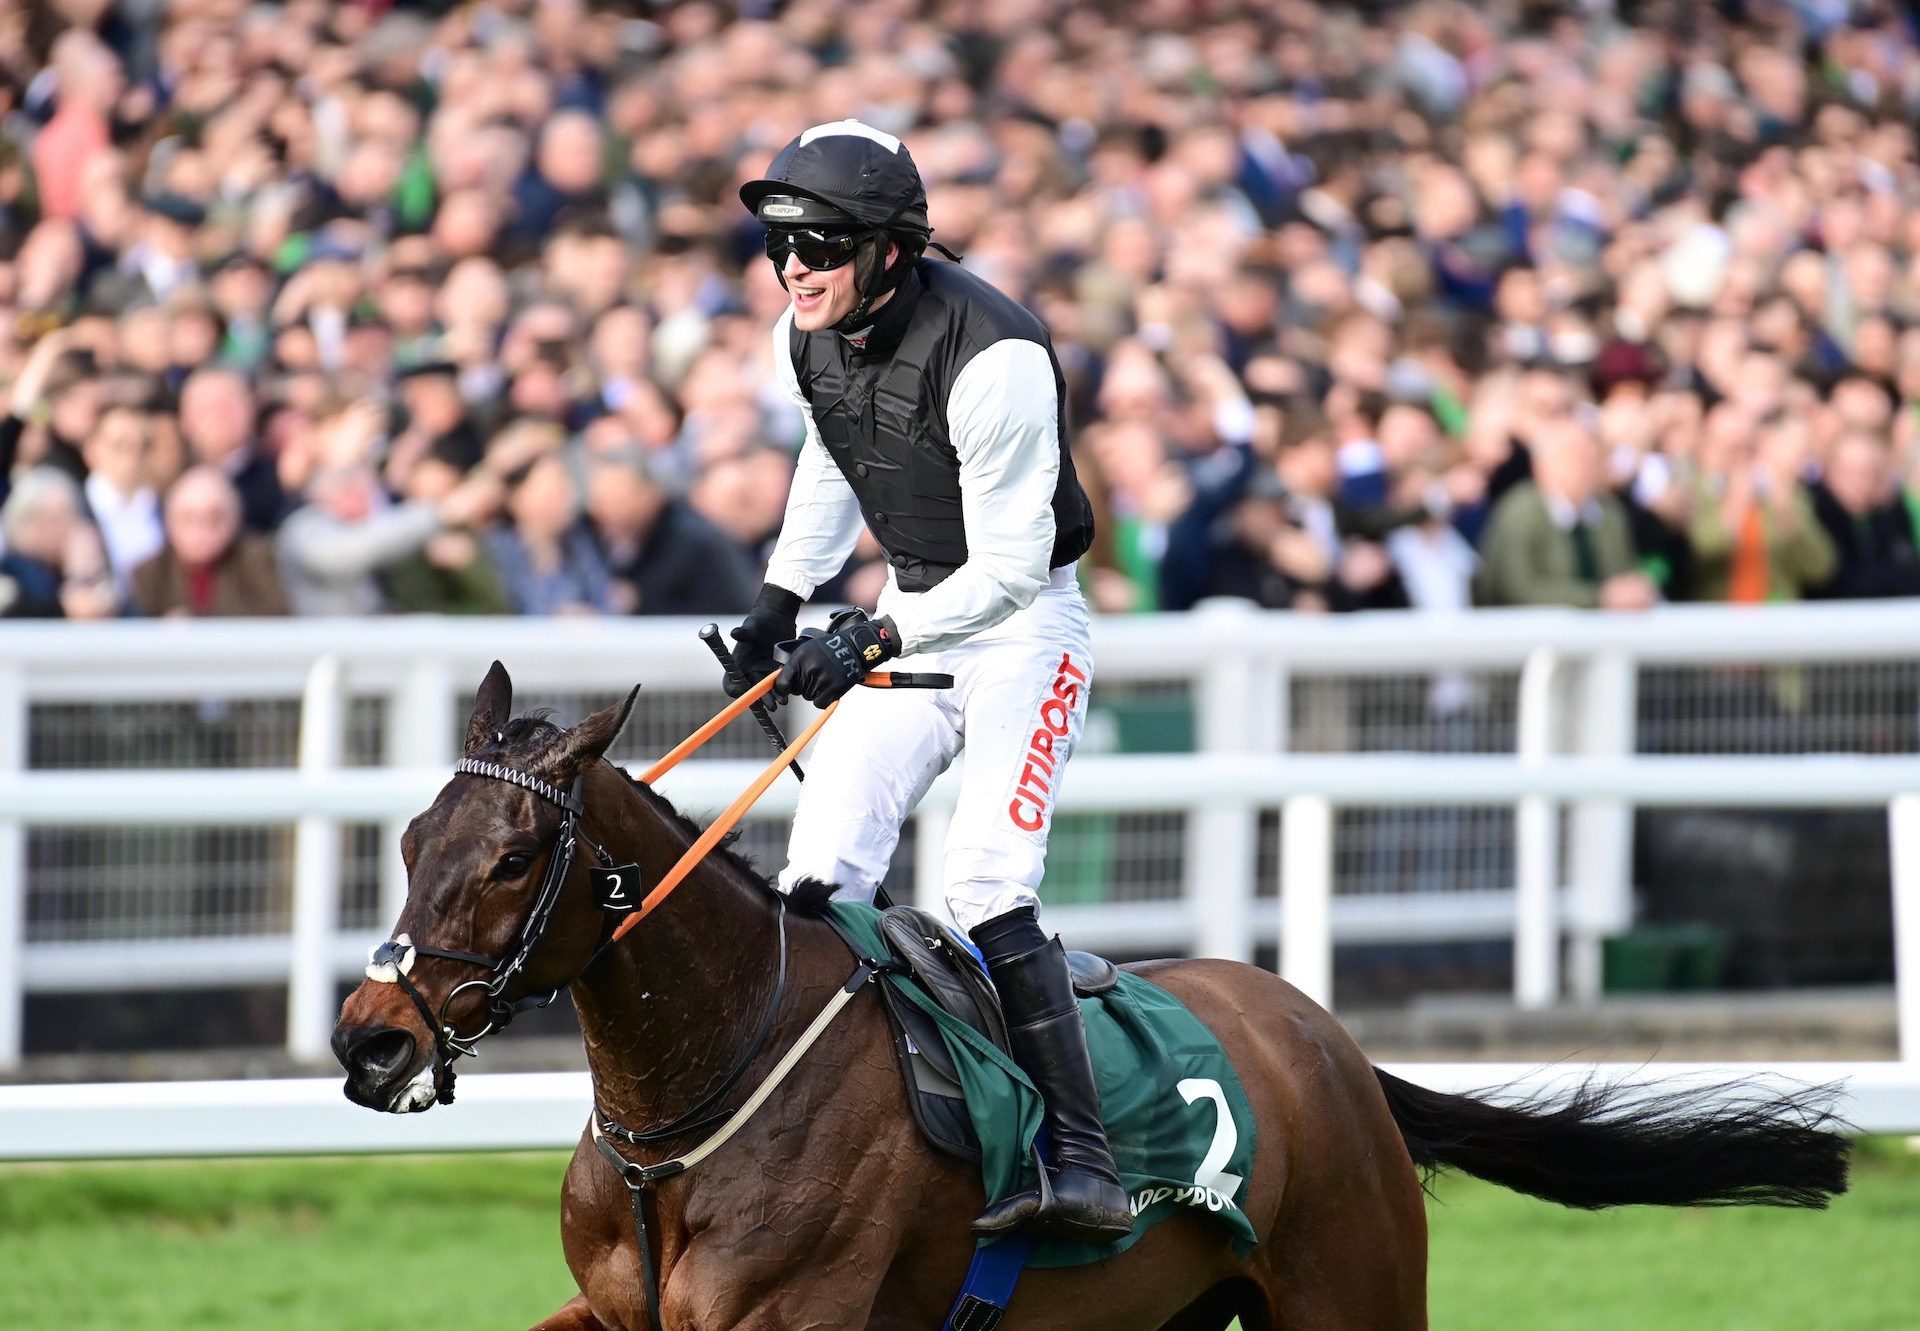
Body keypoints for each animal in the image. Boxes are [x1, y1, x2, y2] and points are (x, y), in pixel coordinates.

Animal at [337, 664, 1850, 1329]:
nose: (369, 1038)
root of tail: (1330, 1041)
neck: (696, 1107)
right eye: (410, 838)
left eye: (513, 856)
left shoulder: (792, 1317)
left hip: (1348, 1295)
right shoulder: (618, 1315)